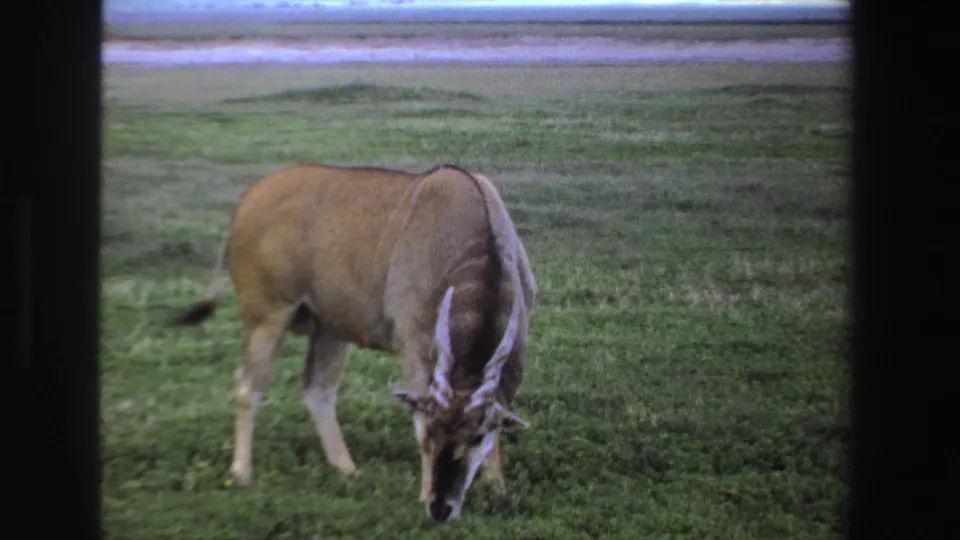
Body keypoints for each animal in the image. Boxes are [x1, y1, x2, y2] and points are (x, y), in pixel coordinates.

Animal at [172, 163, 536, 522]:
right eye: (434, 432)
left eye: (477, 436)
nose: (440, 507)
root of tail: (245, 200)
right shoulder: (412, 348)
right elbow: (417, 418)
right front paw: (423, 493)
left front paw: (497, 487)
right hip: (267, 315)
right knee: (249, 384)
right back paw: (243, 473)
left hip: (330, 328)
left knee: (316, 387)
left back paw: (347, 469)